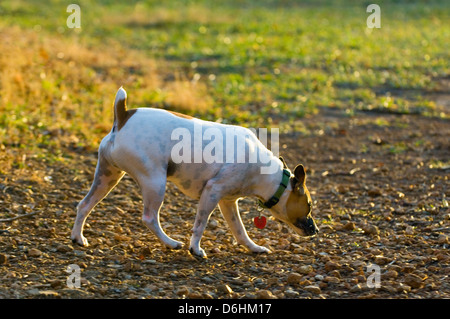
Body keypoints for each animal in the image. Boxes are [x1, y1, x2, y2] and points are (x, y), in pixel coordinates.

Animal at [70, 87, 318, 258]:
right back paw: (170, 242)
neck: (269, 175)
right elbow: (200, 225)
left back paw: (78, 237)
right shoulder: (212, 192)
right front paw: (196, 249)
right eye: (309, 204)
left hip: (107, 177)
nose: (315, 229)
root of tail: (122, 117)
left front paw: (254, 248)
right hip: (155, 182)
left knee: (84, 204)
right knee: (149, 217)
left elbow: (240, 231)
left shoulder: (228, 202)